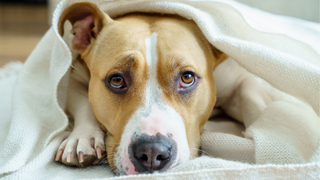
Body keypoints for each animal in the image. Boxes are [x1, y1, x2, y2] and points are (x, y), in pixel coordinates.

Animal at [53, 2, 272, 175]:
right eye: (116, 80)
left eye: (187, 77)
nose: (152, 152)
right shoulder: (73, 78)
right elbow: (83, 103)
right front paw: (83, 138)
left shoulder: (238, 78)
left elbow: (252, 99)